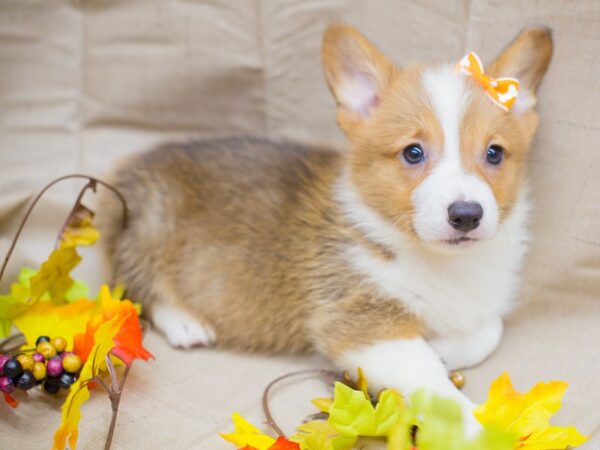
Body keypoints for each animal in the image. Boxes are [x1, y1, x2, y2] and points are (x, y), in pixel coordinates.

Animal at [99, 23, 552, 428]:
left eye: (494, 153)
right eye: (413, 152)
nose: (467, 215)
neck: (442, 261)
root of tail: (132, 166)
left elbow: (487, 330)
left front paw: (441, 346)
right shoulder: (359, 320)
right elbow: (432, 381)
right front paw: (478, 428)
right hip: (150, 224)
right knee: (140, 287)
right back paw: (185, 321)